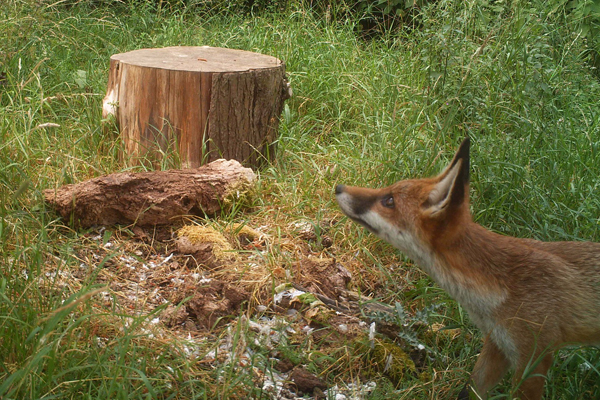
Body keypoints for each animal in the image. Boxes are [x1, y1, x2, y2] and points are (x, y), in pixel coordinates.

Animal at [335, 137, 600, 400]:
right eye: (387, 190)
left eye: (388, 201)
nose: (338, 187)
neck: (500, 286)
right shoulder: (497, 345)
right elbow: (469, 391)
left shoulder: (534, 359)